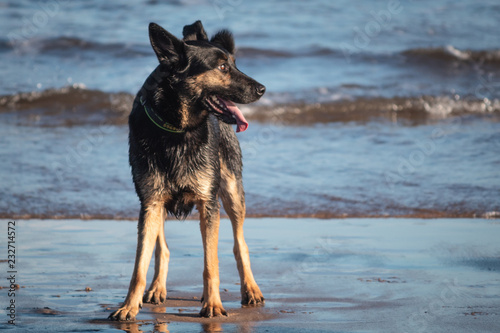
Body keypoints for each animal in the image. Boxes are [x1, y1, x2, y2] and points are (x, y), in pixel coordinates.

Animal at [108, 21, 266, 320]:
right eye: (222, 67)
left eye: (234, 63)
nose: (263, 89)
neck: (176, 129)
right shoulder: (150, 203)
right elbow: (139, 265)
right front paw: (128, 305)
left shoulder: (208, 202)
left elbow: (211, 262)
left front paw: (213, 304)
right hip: (159, 205)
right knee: (163, 248)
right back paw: (157, 288)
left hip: (232, 191)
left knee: (240, 243)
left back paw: (250, 289)